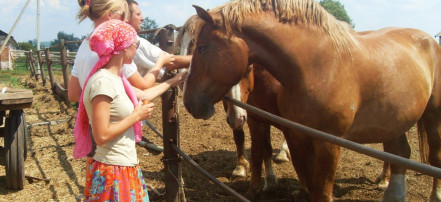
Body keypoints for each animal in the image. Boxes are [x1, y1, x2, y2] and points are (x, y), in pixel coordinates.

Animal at [180, 0, 440, 201]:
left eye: (202, 47)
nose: (188, 101)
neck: (318, 68)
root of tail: (429, 40)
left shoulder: (328, 144)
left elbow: (321, 192)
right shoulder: (296, 136)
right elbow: (301, 177)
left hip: (431, 117)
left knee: (431, 156)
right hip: (395, 121)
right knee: (400, 155)